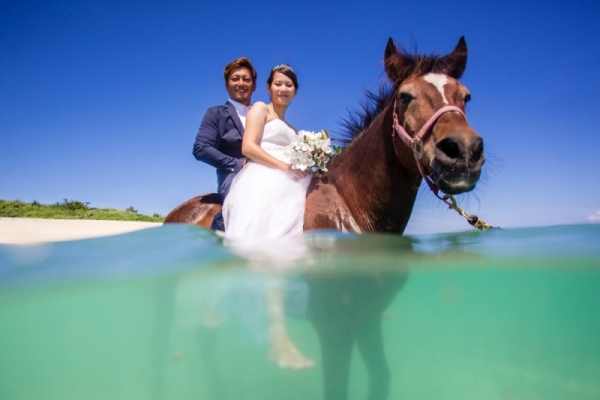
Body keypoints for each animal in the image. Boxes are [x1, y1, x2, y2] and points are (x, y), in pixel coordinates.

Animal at [166, 36, 486, 398]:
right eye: (405, 97)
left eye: (465, 96)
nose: (463, 152)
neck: (349, 205)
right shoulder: (333, 328)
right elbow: (337, 385)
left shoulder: (366, 318)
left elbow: (380, 376)